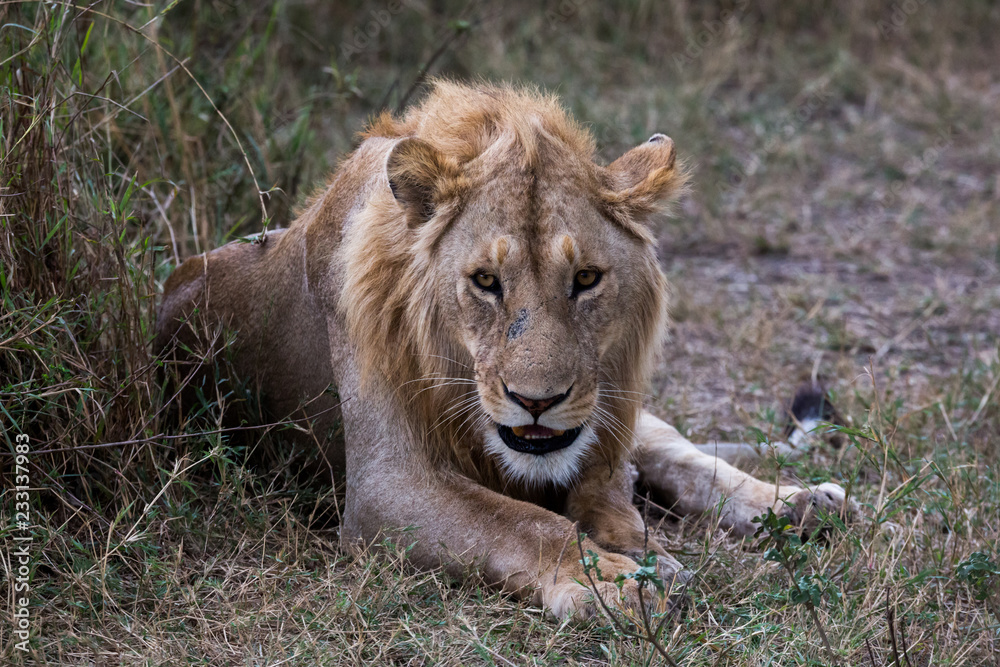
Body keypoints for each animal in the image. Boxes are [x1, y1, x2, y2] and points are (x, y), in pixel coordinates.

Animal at [155, 80, 851, 620]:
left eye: (586, 278)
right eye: (486, 281)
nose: (536, 402)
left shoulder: (602, 411)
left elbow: (606, 487)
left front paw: (634, 544)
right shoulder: (385, 486)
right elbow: (524, 523)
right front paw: (618, 579)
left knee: (674, 451)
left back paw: (800, 503)